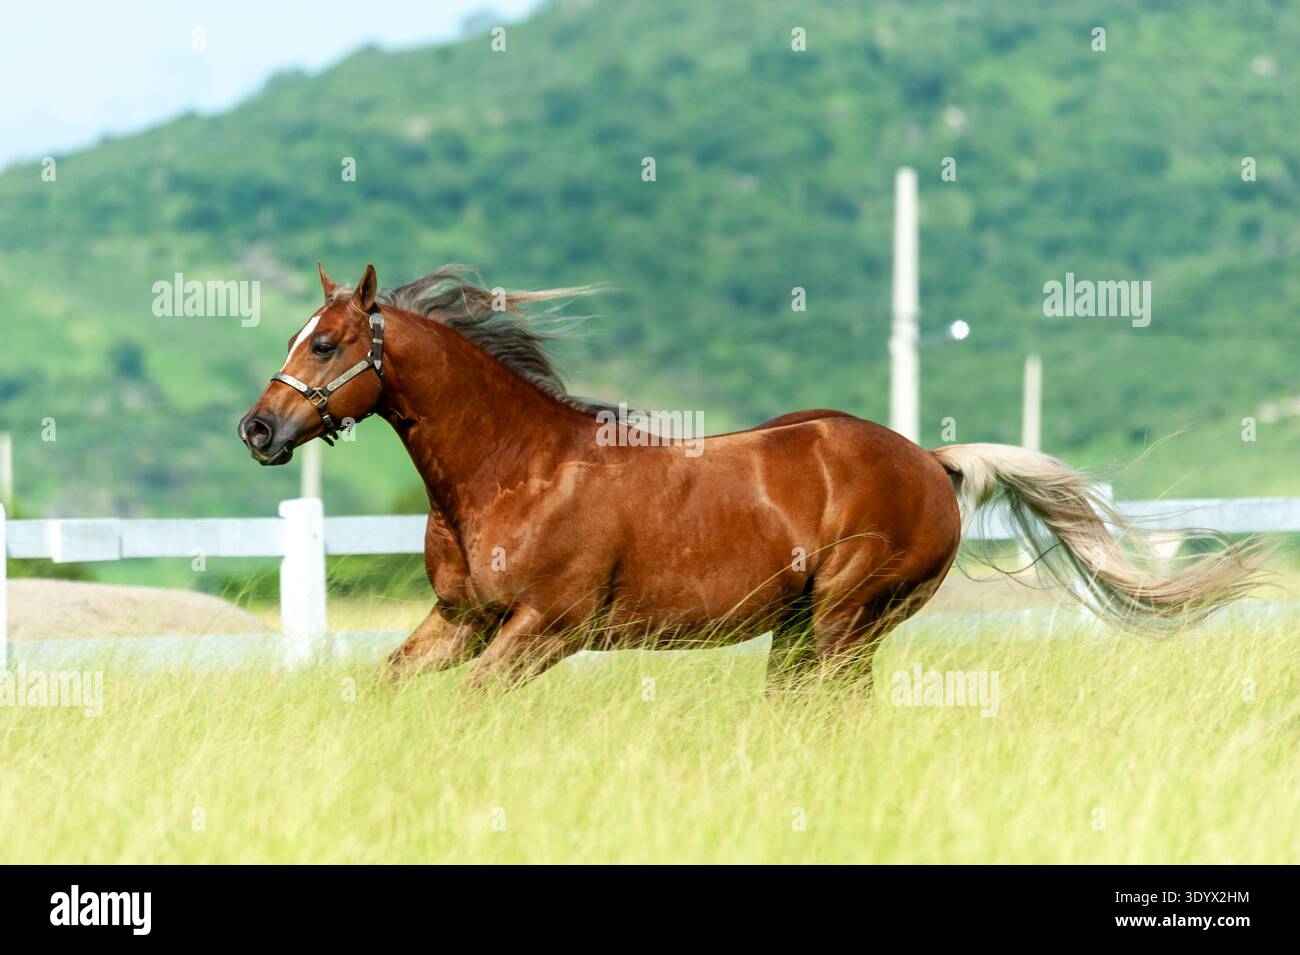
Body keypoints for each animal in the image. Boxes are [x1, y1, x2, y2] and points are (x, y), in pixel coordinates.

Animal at [238, 263, 1259, 688]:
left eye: (325, 343)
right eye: (295, 335)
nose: (258, 427)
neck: (515, 474)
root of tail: (930, 461)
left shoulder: (545, 630)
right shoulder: (463, 620)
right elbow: (389, 687)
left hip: (848, 618)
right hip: (803, 627)